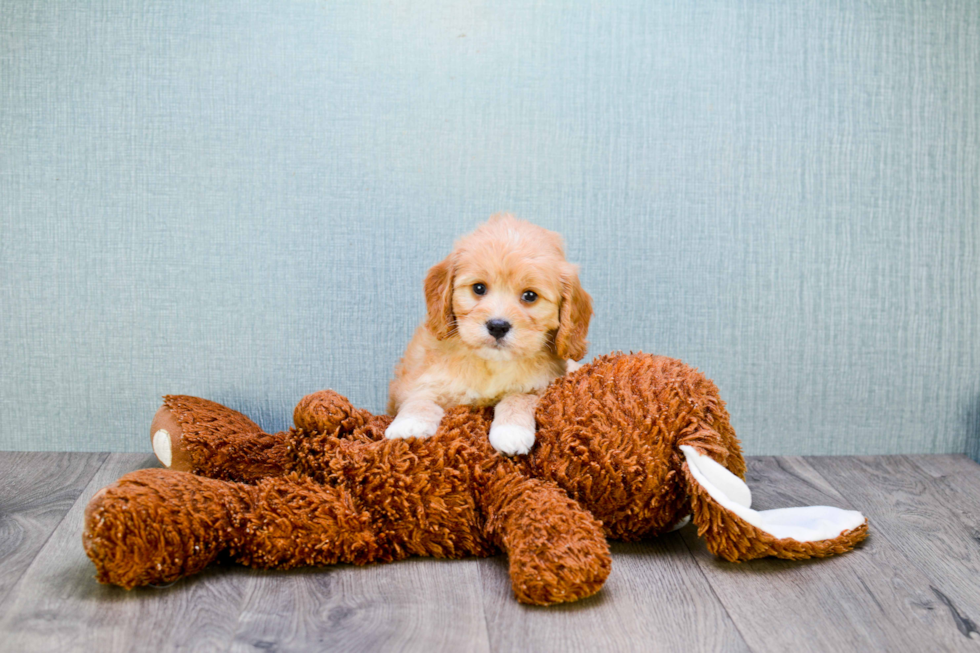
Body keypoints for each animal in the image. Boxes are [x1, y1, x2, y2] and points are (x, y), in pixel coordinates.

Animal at [386, 214, 592, 454]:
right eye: (479, 288)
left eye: (530, 296)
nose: (498, 326)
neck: (491, 365)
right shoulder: (417, 379)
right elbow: (419, 396)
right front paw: (409, 424)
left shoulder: (543, 387)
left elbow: (518, 397)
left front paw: (511, 431)